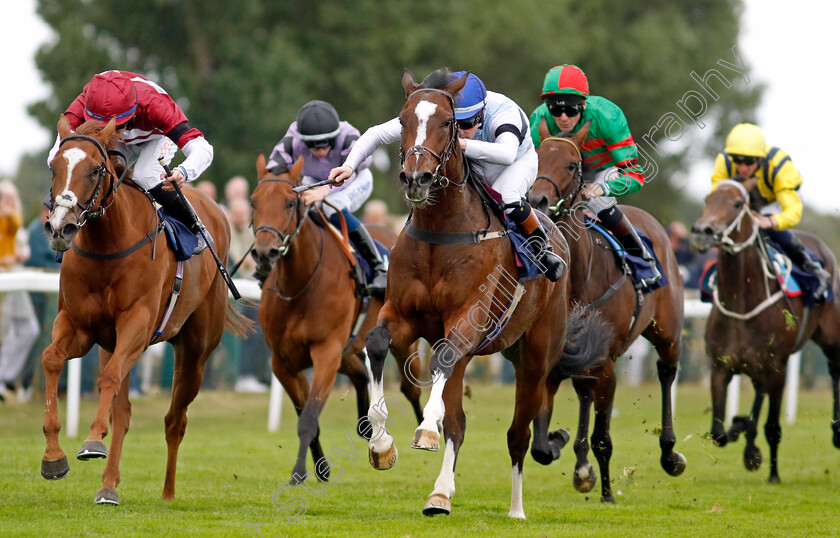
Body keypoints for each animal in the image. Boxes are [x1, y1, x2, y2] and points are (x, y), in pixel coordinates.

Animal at [40, 116, 249, 502]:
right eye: (54, 167)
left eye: (95, 169)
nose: (60, 226)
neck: (108, 247)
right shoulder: (80, 326)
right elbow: (51, 359)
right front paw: (53, 457)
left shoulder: (136, 325)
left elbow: (108, 380)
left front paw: (92, 440)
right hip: (111, 345)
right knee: (123, 413)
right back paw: (108, 486)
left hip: (195, 352)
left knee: (175, 420)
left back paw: (167, 492)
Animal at [248, 154, 420, 482]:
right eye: (253, 201)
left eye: (291, 202)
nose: (264, 253)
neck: (300, 286)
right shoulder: (283, 362)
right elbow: (306, 414)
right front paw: (320, 468)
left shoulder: (326, 352)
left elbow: (309, 416)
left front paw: (301, 471)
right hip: (349, 348)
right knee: (362, 373)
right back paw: (368, 428)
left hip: (399, 340)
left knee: (411, 387)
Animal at [364, 70, 608, 516]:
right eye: (403, 120)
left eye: (448, 122)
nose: (417, 178)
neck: (442, 232)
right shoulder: (404, 317)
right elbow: (375, 343)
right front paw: (381, 444)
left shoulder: (469, 318)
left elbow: (442, 364)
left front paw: (424, 430)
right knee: (459, 424)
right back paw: (440, 494)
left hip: (535, 357)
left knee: (518, 434)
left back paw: (516, 508)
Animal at [528, 132, 684, 500]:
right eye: (537, 154)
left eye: (572, 164)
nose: (537, 199)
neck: (578, 279)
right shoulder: (552, 365)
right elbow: (539, 447)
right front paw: (560, 443)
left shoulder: (608, 366)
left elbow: (603, 437)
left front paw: (608, 494)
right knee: (584, 392)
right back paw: (581, 466)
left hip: (667, 333)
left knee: (666, 372)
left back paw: (670, 453)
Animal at [688, 177, 840, 482]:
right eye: (707, 199)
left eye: (737, 204)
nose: (702, 232)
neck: (743, 302)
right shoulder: (720, 367)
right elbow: (718, 433)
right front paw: (742, 429)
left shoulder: (778, 368)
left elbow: (773, 427)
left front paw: (773, 474)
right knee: (758, 391)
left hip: (830, 337)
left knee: (836, 371)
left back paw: (837, 431)